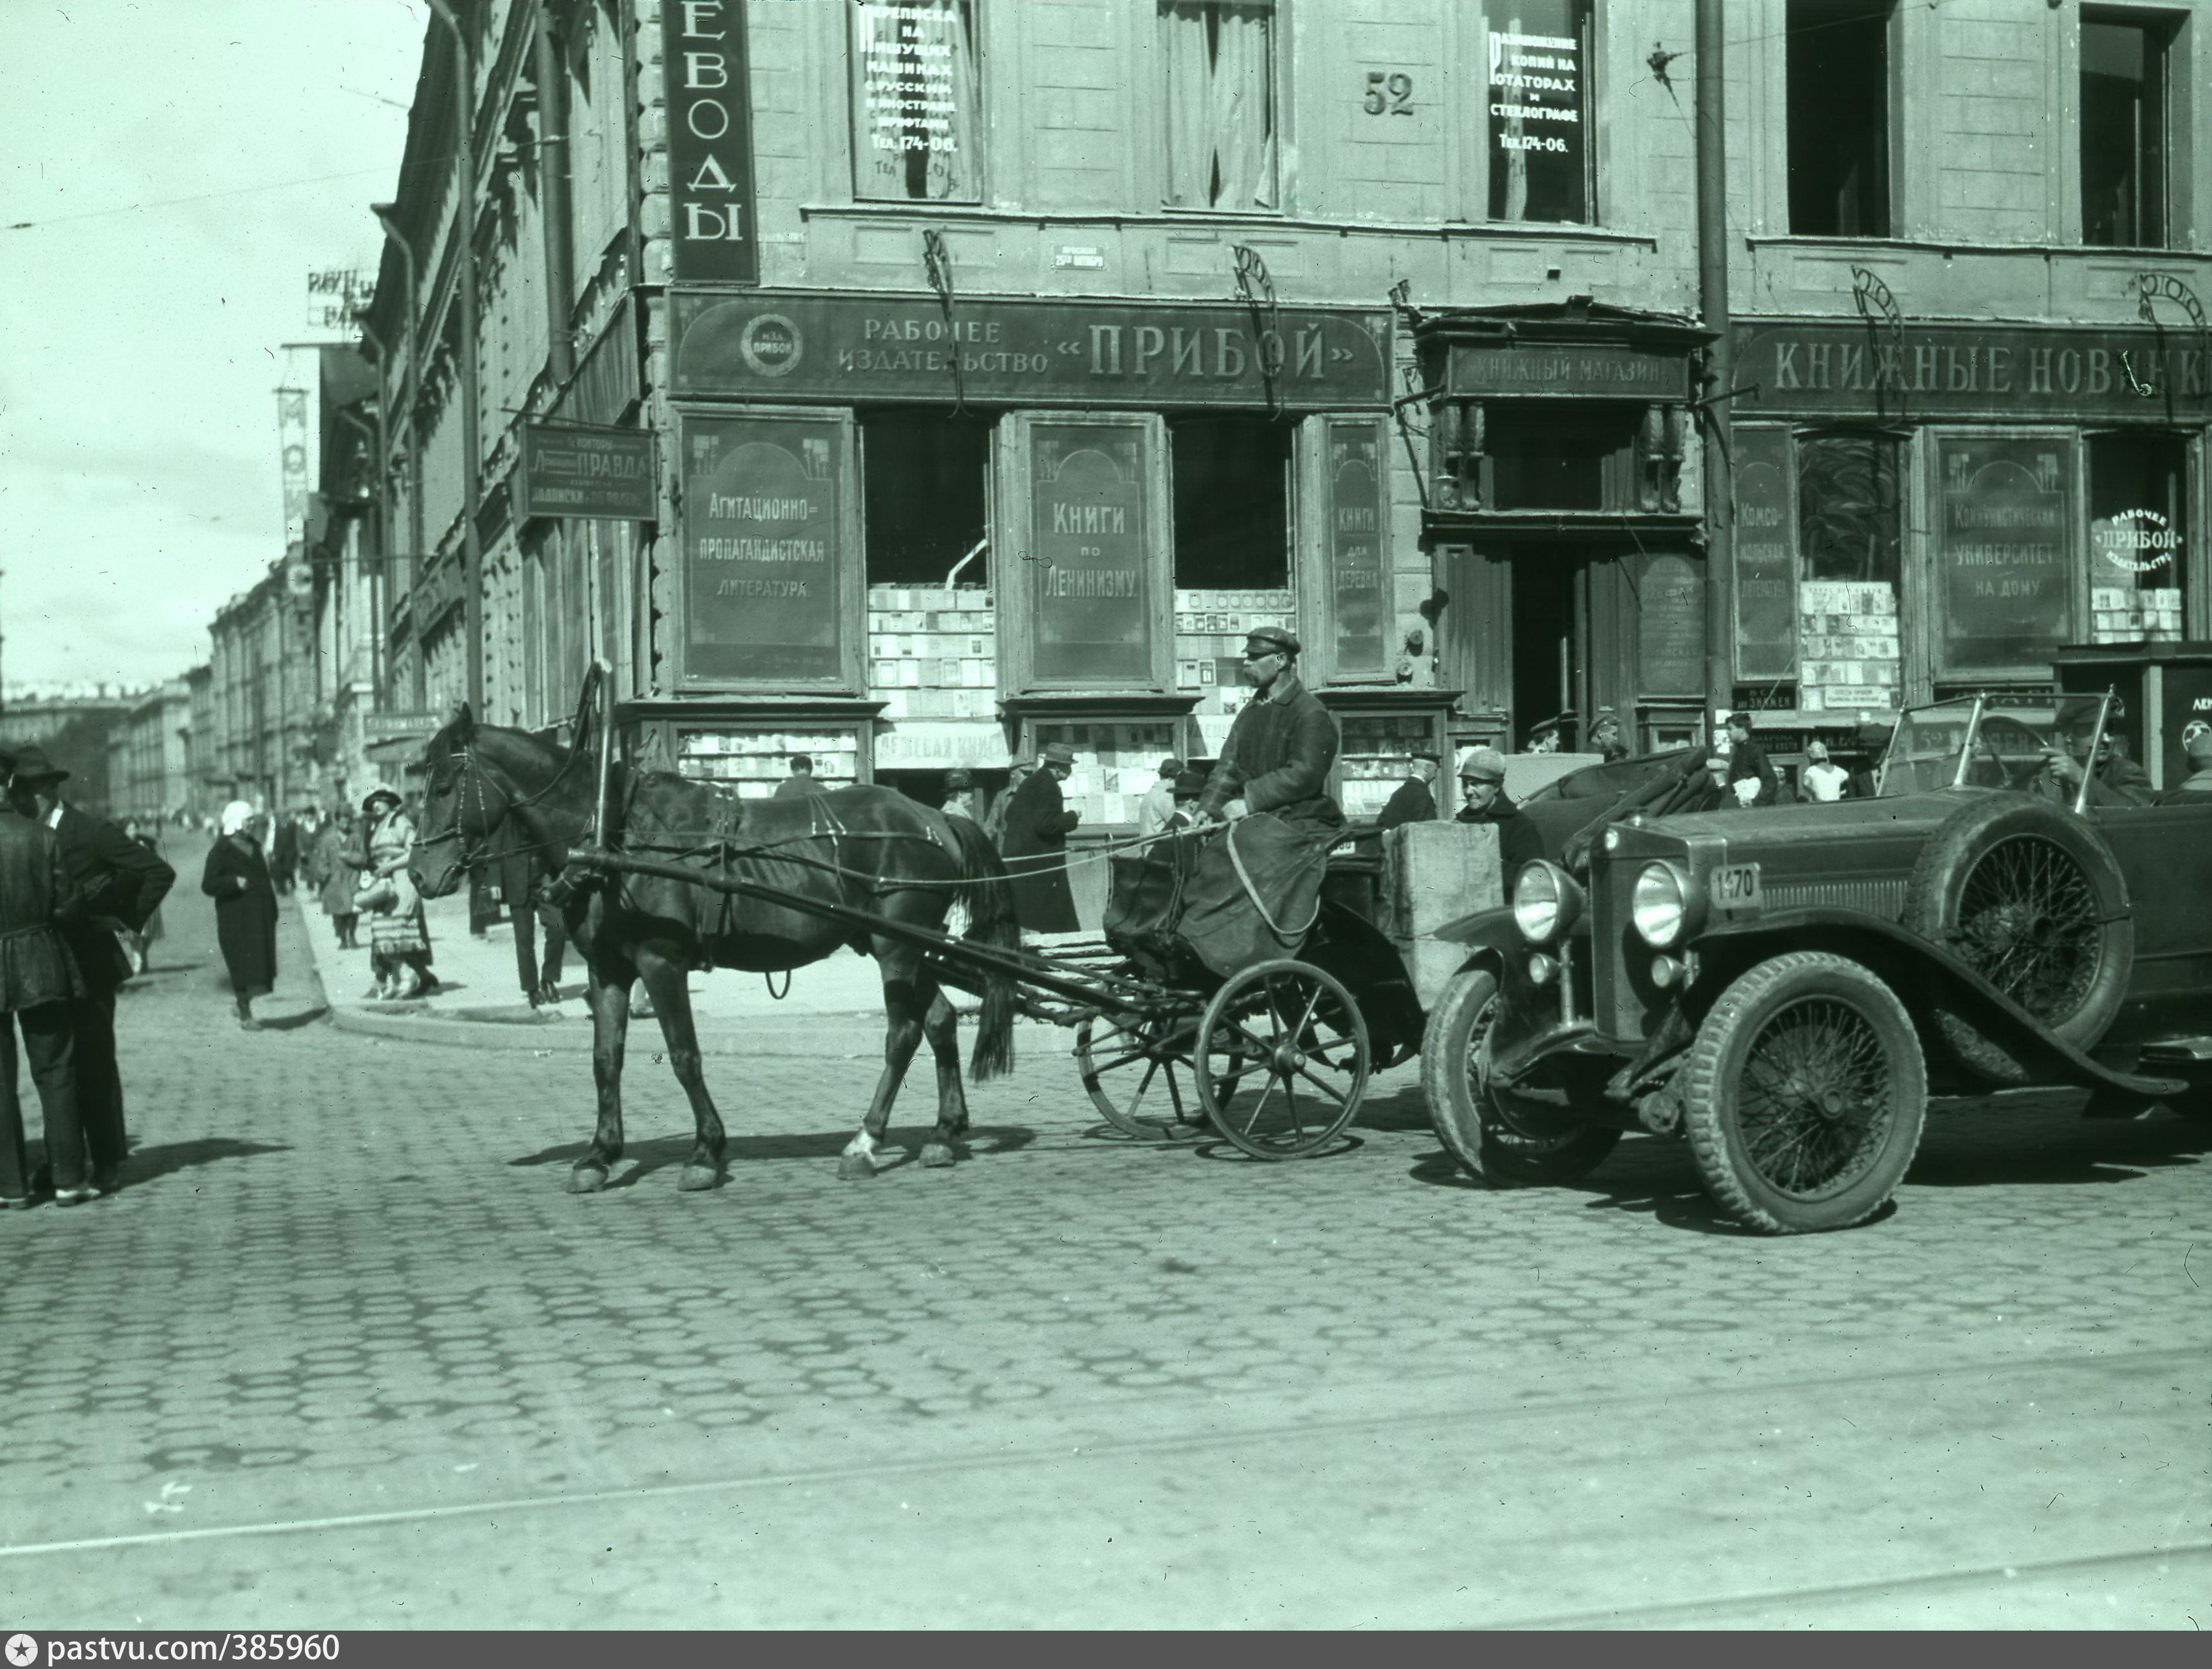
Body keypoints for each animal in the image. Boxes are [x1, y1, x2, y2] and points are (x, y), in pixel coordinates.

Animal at [409, 690, 1017, 1195]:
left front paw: (705, 1150)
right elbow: (606, 1059)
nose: (418, 874)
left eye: (443, 787)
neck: (612, 834)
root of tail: (933, 817)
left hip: (898, 950)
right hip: (900, 945)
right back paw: (942, 1133)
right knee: (939, 1020)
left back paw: (865, 1141)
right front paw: (600, 1153)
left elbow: (684, 1055)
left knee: (903, 1033)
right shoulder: (608, 969)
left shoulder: (660, 962)